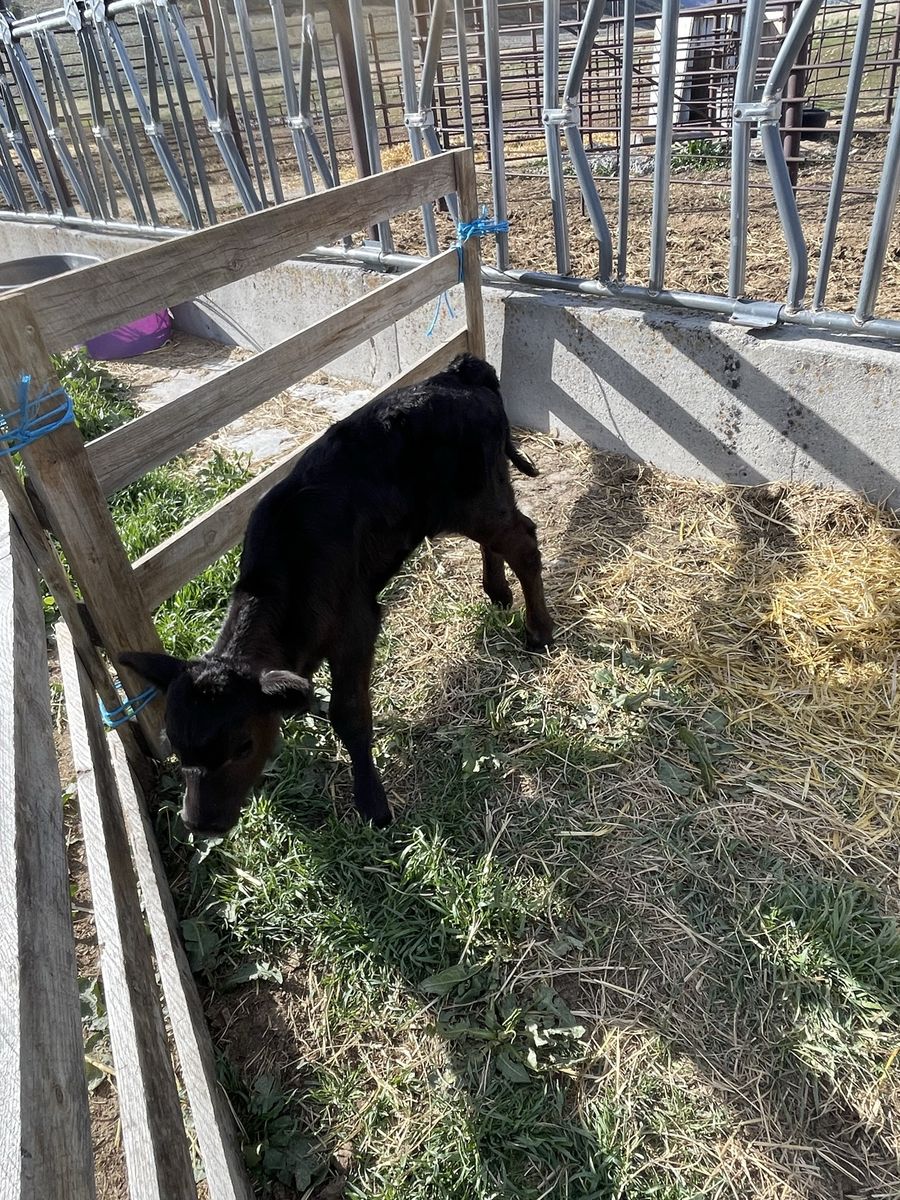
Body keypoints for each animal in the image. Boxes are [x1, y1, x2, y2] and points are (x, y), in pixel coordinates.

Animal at [121, 354, 553, 836]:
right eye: (176, 747)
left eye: (243, 746)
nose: (201, 824)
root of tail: (459, 372)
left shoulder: (355, 625)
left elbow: (348, 715)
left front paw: (372, 802)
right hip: (481, 498)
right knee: (505, 537)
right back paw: (497, 591)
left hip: (477, 500)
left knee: (524, 543)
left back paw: (539, 631)